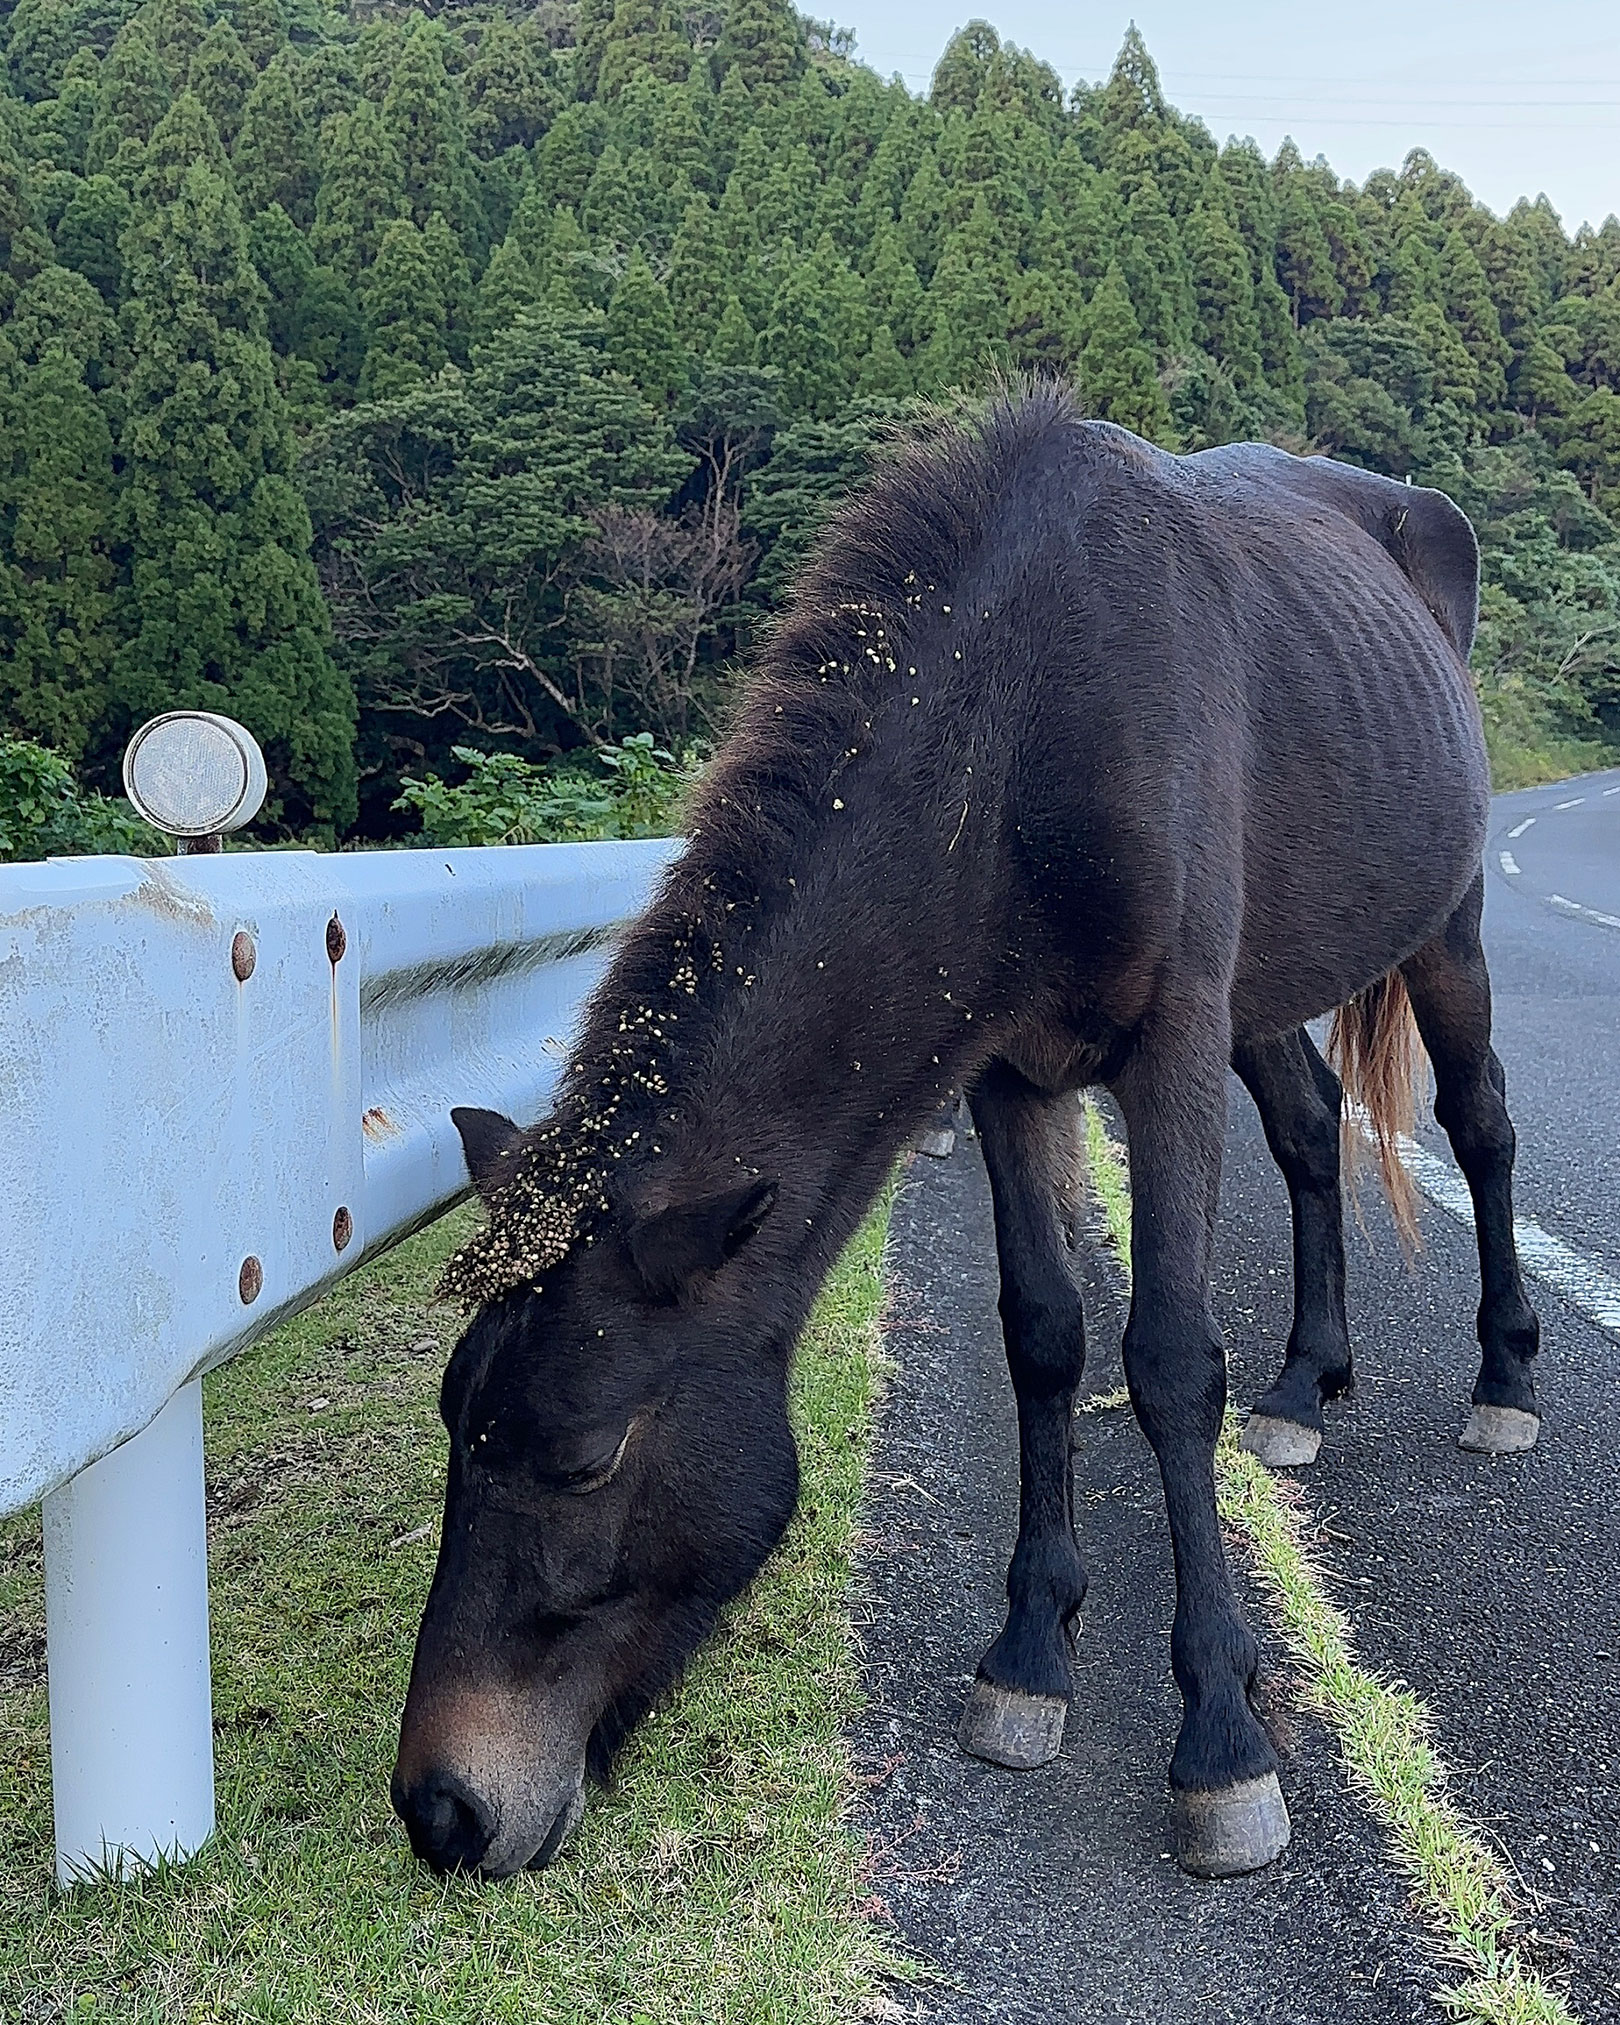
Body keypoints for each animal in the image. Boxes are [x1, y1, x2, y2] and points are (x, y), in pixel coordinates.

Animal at [388, 390, 1530, 1879]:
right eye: (456, 1421)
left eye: (583, 1459)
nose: (441, 1809)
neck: (1028, 729)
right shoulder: (1009, 1075)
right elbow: (1042, 1335)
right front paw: (1029, 1656)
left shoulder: (1166, 1053)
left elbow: (1167, 1362)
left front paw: (1223, 1738)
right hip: (1269, 988)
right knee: (1307, 1130)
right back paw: (1303, 1382)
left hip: (1445, 928)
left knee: (1480, 1123)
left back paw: (1503, 1377)